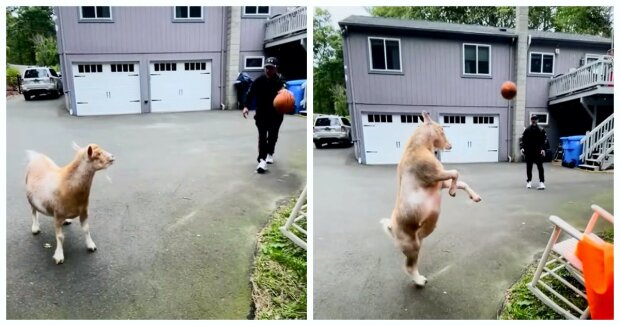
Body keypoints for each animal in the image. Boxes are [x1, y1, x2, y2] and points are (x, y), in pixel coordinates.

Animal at [380, 111, 482, 286]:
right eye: (442, 129)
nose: (450, 145)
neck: (418, 146)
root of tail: (391, 228)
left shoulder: (441, 183)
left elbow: (462, 182)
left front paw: (474, 196)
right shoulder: (435, 175)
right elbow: (456, 173)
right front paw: (453, 192)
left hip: (417, 241)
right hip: (412, 246)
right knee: (409, 267)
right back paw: (420, 281)